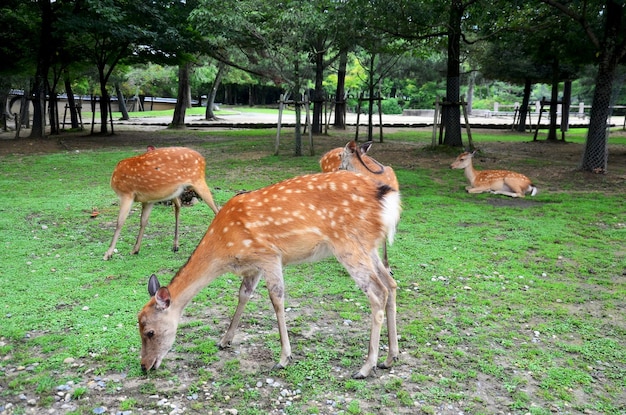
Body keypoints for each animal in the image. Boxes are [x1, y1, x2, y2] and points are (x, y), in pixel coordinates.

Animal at [137, 170, 400, 380]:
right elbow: (243, 295)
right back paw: (390, 357)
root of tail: (388, 198)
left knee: (378, 291)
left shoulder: (269, 255)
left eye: (149, 332)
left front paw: (283, 358)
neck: (224, 248)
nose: (144, 366)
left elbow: (276, 299)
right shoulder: (253, 266)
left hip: (348, 244)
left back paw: (366, 367)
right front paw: (225, 340)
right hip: (369, 246)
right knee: (391, 283)